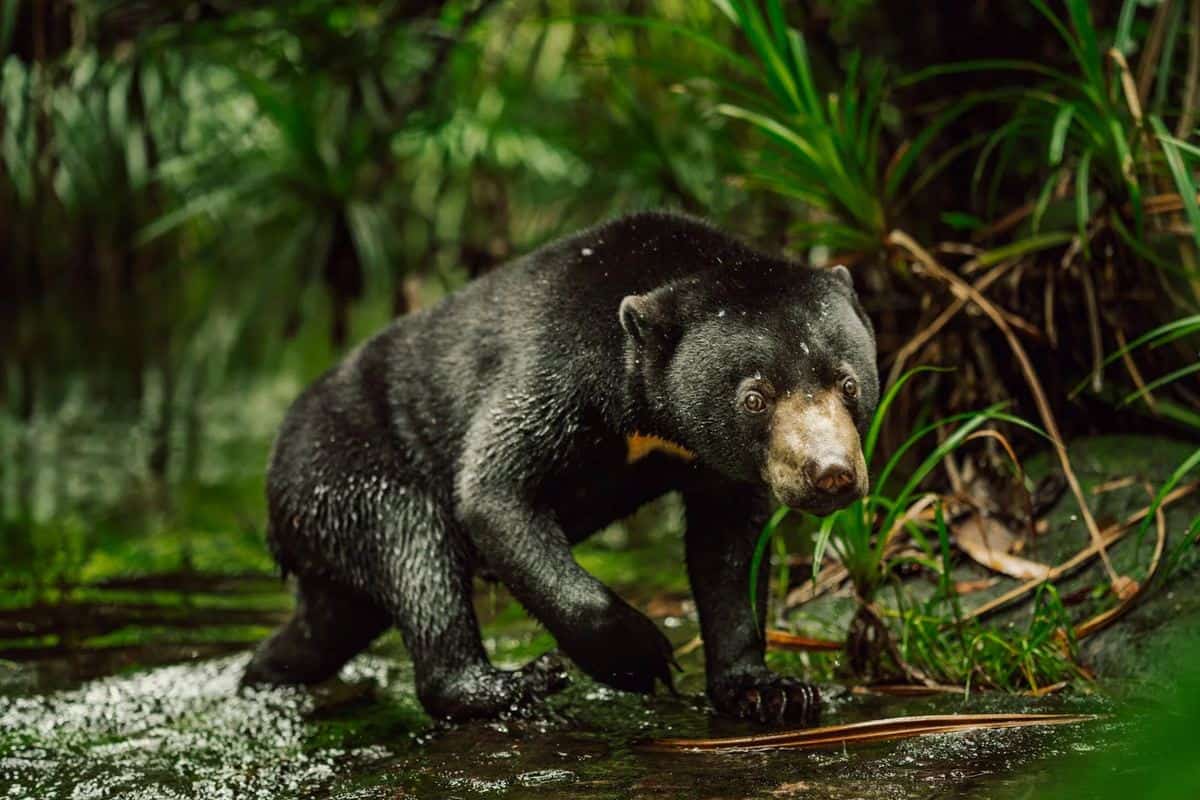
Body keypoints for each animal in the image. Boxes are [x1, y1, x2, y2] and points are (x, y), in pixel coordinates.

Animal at [242, 211, 878, 725]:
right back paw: (512, 686)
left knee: (327, 624)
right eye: (754, 397)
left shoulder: (713, 460)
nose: (830, 473)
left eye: (848, 384)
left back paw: (263, 676)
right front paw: (642, 657)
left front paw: (771, 692)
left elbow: (729, 549)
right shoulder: (555, 364)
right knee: (414, 545)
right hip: (343, 466)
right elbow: (494, 492)